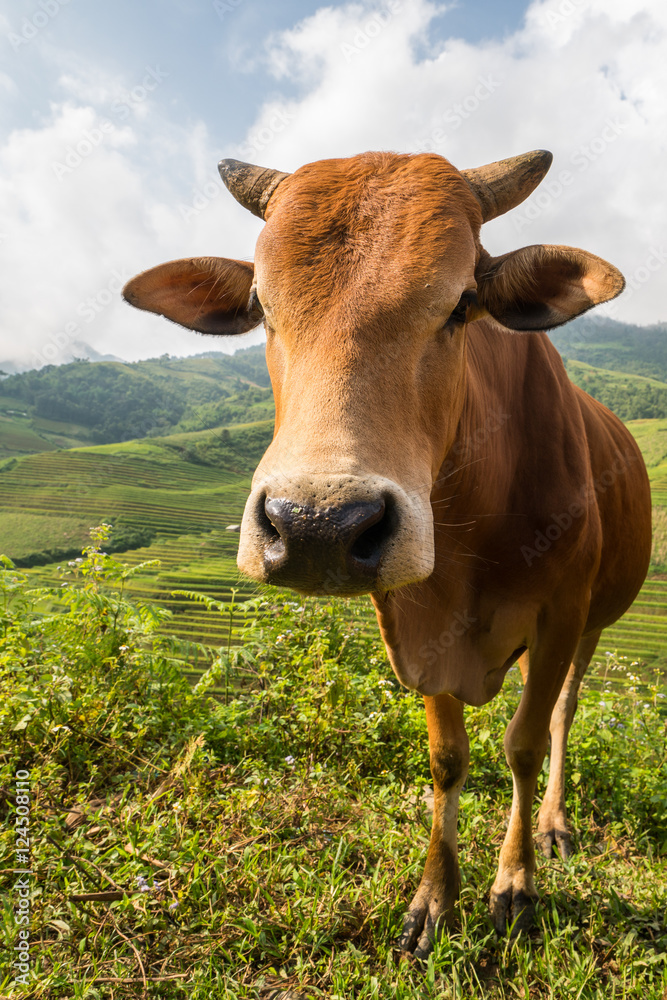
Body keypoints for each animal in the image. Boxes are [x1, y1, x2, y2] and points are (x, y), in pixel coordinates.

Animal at [124, 150, 652, 960]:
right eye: (262, 304)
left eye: (463, 302)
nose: (316, 525)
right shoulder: (419, 623)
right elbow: (447, 758)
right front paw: (433, 898)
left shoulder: (562, 612)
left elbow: (524, 744)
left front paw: (514, 884)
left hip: (593, 619)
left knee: (563, 711)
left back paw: (555, 824)